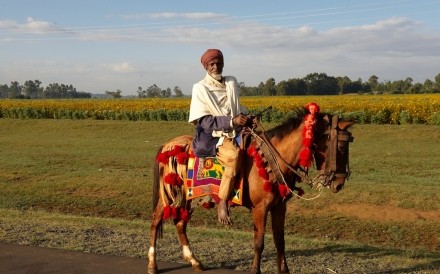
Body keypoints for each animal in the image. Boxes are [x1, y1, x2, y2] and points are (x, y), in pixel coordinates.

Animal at [148, 105, 354, 274]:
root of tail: (168, 145)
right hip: (169, 194)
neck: (273, 159)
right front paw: (255, 270)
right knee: (156, 220)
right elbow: (259, 242)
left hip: (188, 197)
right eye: (341, 146)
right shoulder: (260, 209)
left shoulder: (279, 207)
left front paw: (284, 270)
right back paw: (152, 263)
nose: (339, 183)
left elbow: (280, 240)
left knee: (180, 223)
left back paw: (194, 261)